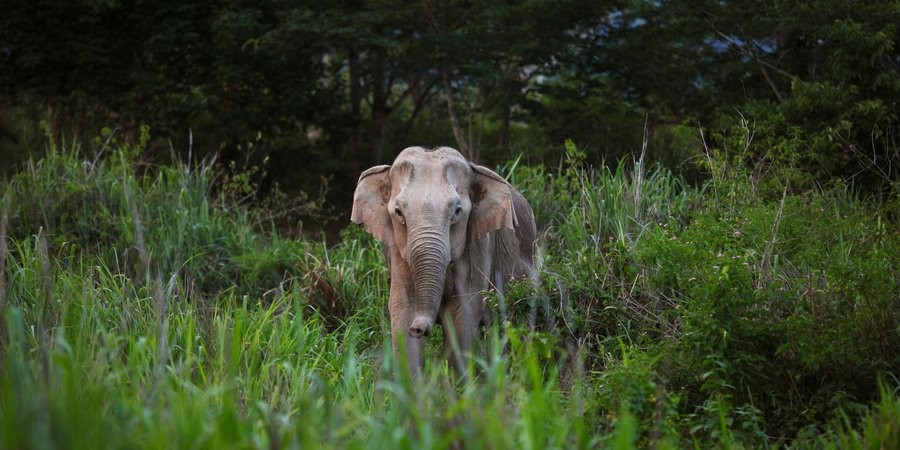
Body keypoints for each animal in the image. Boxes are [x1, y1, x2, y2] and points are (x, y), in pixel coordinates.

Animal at [351, 146, 536, 376]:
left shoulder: (479, 246)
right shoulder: (397, 251)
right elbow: (403, 308)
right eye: (398, 212)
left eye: (457, 211)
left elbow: (464, 312)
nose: (418, 328)